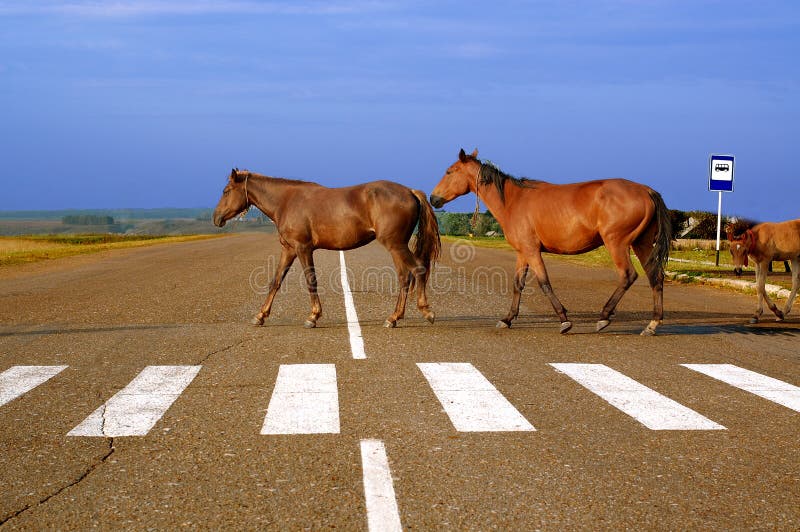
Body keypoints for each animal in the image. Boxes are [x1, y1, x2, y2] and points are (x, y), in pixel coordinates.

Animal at [213, 169, 441, 328]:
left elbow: (310, 280)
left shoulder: (303, 248)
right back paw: (393, 318)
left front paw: (313, 317)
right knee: (405, 277)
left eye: (226, 191)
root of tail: (410, 192)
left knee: (417, 270)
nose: (216, 218)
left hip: (395, 245)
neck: (287, 201)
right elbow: (276, 282)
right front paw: (260, 316)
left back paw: (425, 312)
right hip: (396, 247)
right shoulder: (289, 249)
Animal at [429, 149, 671, 335]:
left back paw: (604, 317)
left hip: (617, 243)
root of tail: (646, 190)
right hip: (641, 244)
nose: (433, 198)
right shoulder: (523, 253)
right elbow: (517, 284)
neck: (513, 201)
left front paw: (564, 320)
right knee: (655, 277)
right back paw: (652, 324)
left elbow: (544, 283)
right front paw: (507, 319)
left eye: (449, 171)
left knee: (628, 276)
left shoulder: (532, 251)